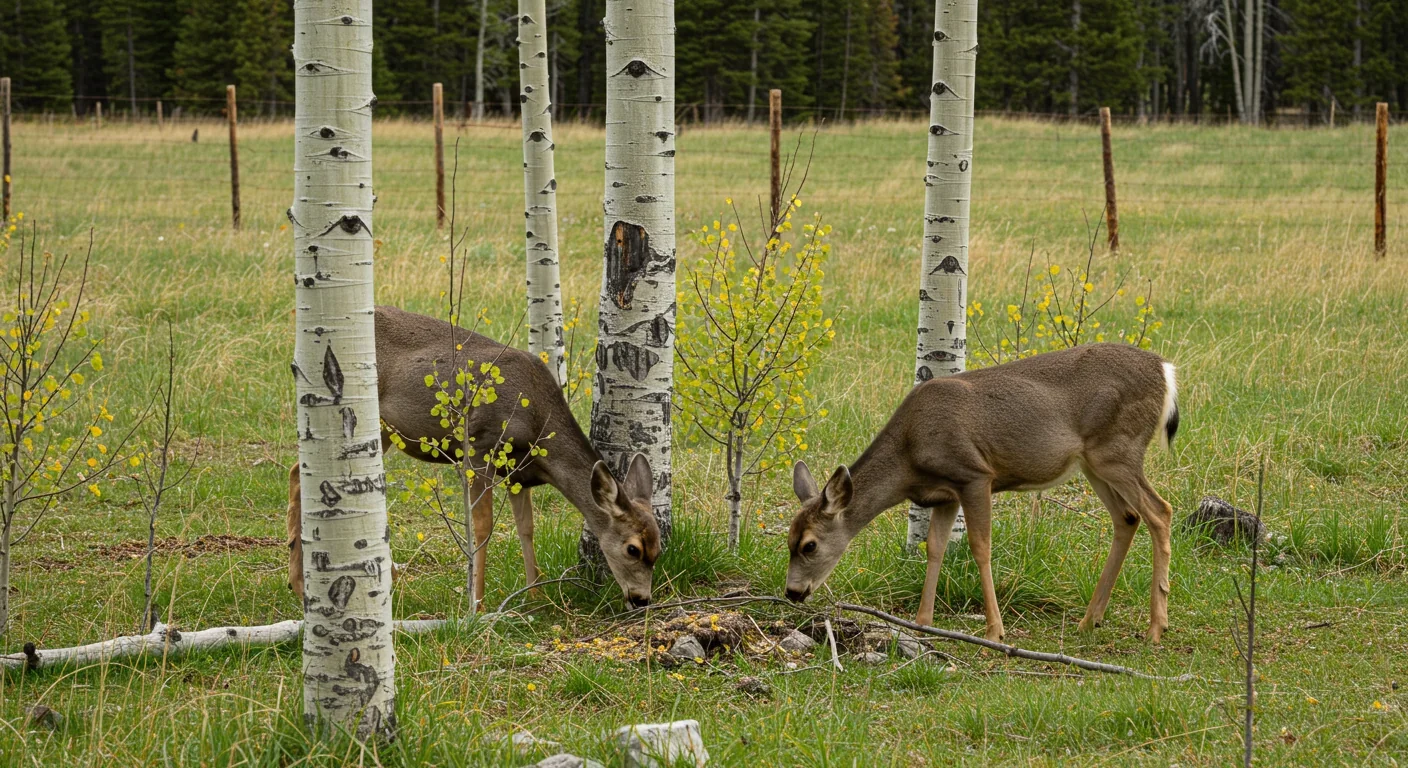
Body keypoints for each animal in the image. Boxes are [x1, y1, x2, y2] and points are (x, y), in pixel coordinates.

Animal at [288, 305, 661, 610]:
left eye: (659, 548)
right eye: (632, 548)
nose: (642, 599)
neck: (537, 421)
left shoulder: (517, 473)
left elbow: (526, 527)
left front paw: (536, 597)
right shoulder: (478, 448)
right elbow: (482, 526)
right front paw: (477, 603)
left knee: (300, 470)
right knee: (303, 472)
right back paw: (301, 582)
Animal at [784, 343, 1180, 643]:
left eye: (809, 545)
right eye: (788, 540)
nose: (792, 592)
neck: (909, 455)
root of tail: (1166, 371)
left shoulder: (974, 475)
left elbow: (980, 546)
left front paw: (994, 631)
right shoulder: (945, 494)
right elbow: (935, 548)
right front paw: (923, 622)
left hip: (1117, 449)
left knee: (1160, 510)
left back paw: (1155, 628)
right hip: (1094, 462)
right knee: (1128, 517)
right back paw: (1090, 620)